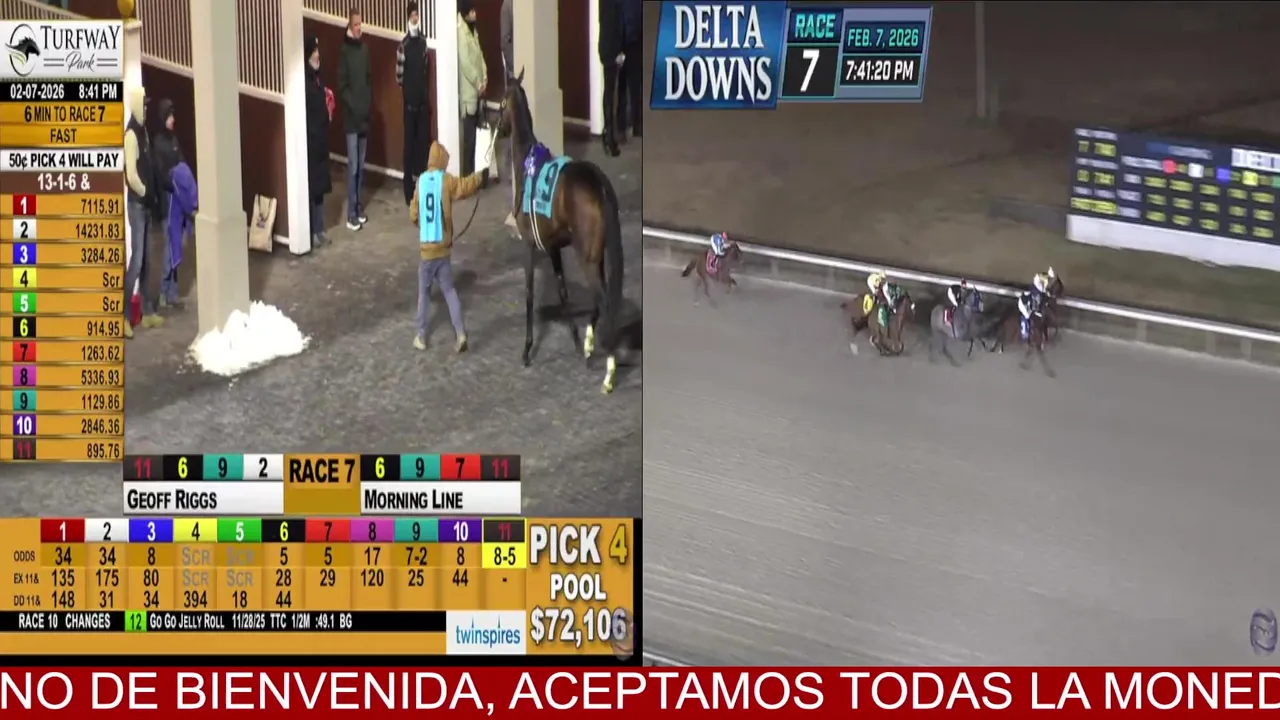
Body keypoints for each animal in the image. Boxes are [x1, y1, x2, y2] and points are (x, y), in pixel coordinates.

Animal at [497, 69, 626, 394]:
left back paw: (608, 371)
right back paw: (591, 345)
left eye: (501, 100)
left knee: (604, 300)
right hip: (596, 255)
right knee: (598, 299)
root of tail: (597, 183)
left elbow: (530, 293)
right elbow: (563, 291)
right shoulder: (553, 247)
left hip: (587, 257)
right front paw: (577, 340)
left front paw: (527, 349)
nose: (496, 126)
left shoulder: (529, 245)